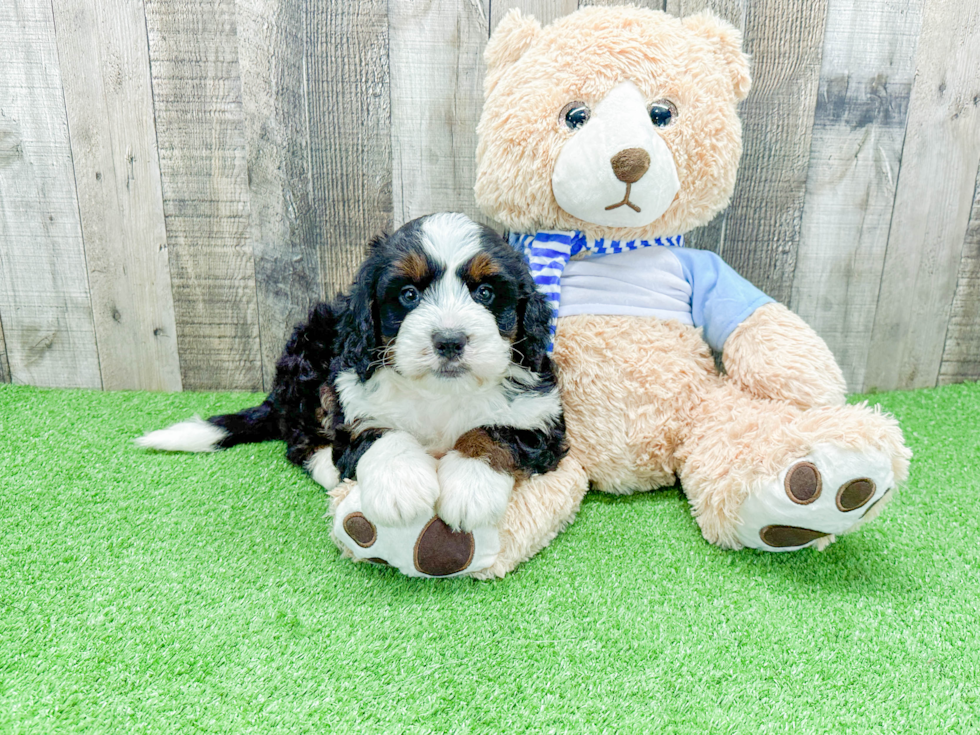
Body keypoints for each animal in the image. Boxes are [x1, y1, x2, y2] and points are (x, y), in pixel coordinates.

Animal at [138, 211, 568, 528]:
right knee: (298, 438)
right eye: (408, 295)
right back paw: (329, 469)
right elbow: (379, 433)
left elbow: (495, 433)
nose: (449, 340)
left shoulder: (541, 415)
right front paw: (399, 487)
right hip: (309, 358)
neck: (439, 392)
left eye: (486, 293)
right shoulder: (354, 401)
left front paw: (470, 487)